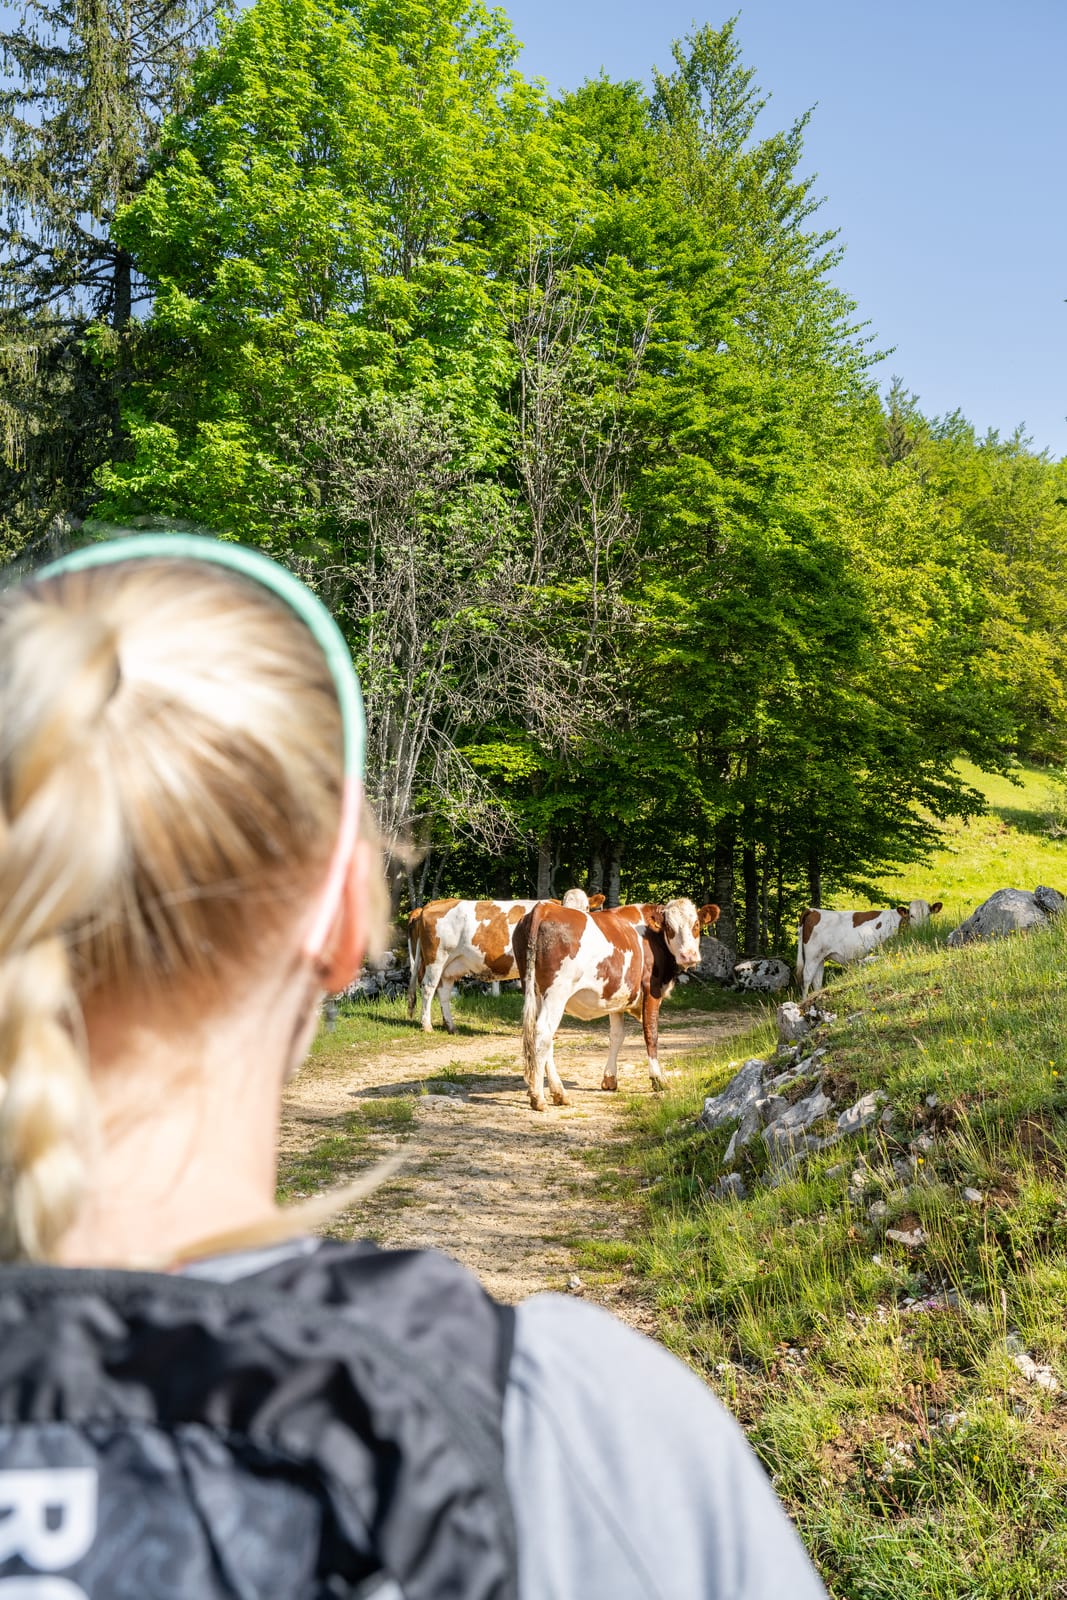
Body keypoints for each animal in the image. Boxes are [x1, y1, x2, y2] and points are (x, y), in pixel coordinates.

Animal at [406, 896, 604, 1030]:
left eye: (586, 907)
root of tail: (433, 904)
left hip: (451, 966)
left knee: (444, 991)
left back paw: (451, 1026)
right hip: (436, 958)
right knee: (428, 988)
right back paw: (427, 1025)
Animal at [515, 902, 723, 1113]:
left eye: (696, 925)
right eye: (670, 928)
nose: (688, 955)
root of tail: (544, 907)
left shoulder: (617, 998)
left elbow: (617, 1036)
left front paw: (610, 1079)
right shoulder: (652, 990)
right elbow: (651, 1033)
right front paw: (658, 1079)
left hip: (533, 990)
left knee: (544, 1037)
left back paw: (559, 1093)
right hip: (556, 992)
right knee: (543, 1034)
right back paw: (538, 1097)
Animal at [793, 896, 940, 992]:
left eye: (928, 914)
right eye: (911, 916)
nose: (922, 929)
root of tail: (813, 910)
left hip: (821, 957)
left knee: (817, 982)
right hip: (812, 956)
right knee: (806, 979)